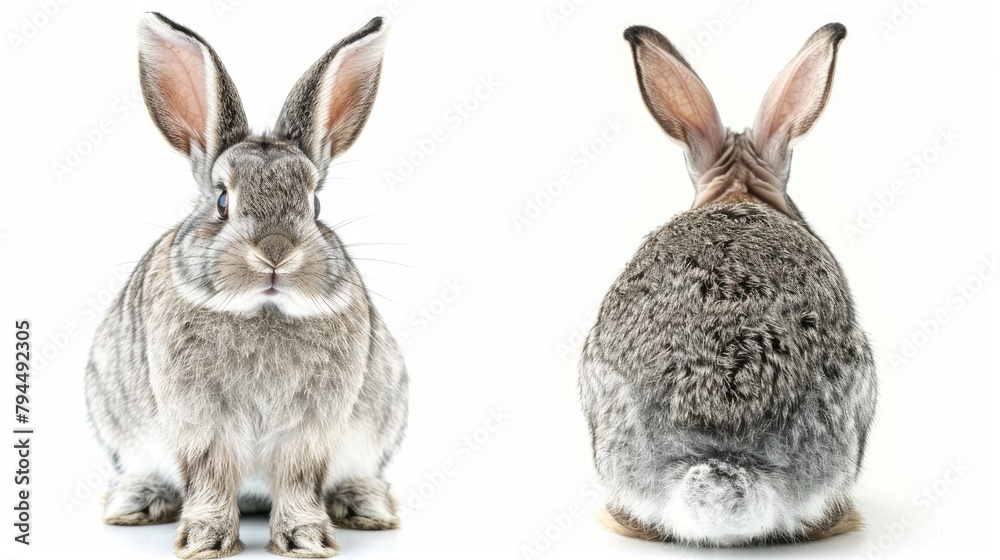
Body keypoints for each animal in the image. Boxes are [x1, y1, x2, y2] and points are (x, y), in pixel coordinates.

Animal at [84, 10, 406, 556]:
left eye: (315, 205)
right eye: (221, 201)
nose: (275, 252)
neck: (262, 309)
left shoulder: (311, 430)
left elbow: (298, 479)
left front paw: (303, 539)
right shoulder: (200, 424)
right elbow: (211, 475)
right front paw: (207, 540)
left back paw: (366, 506)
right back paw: (136, 502)